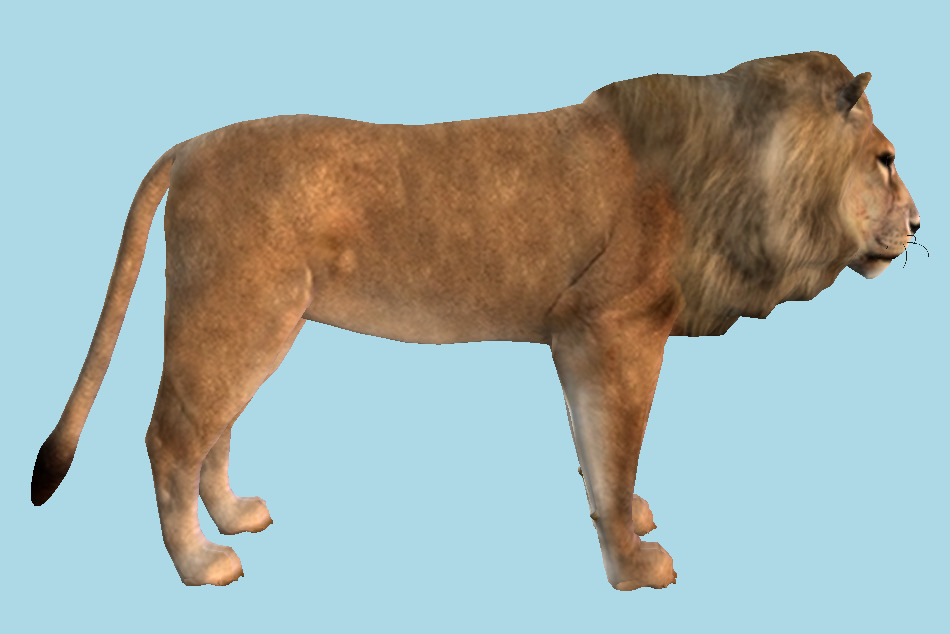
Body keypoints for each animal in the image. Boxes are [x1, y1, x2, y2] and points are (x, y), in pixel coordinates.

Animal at [31, 51, 919, 590]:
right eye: (885, 160)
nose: (917, 224)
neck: (745, 171)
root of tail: (189, 146)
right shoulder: (611, 329)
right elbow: (616, 450)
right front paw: (633, 568)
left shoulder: (579, 339)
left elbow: (600, 456)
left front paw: (626, 522)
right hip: (236, 316)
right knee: (170, 437)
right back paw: (198, 561)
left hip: (250, 323)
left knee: (211, 431)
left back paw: (234, 516)